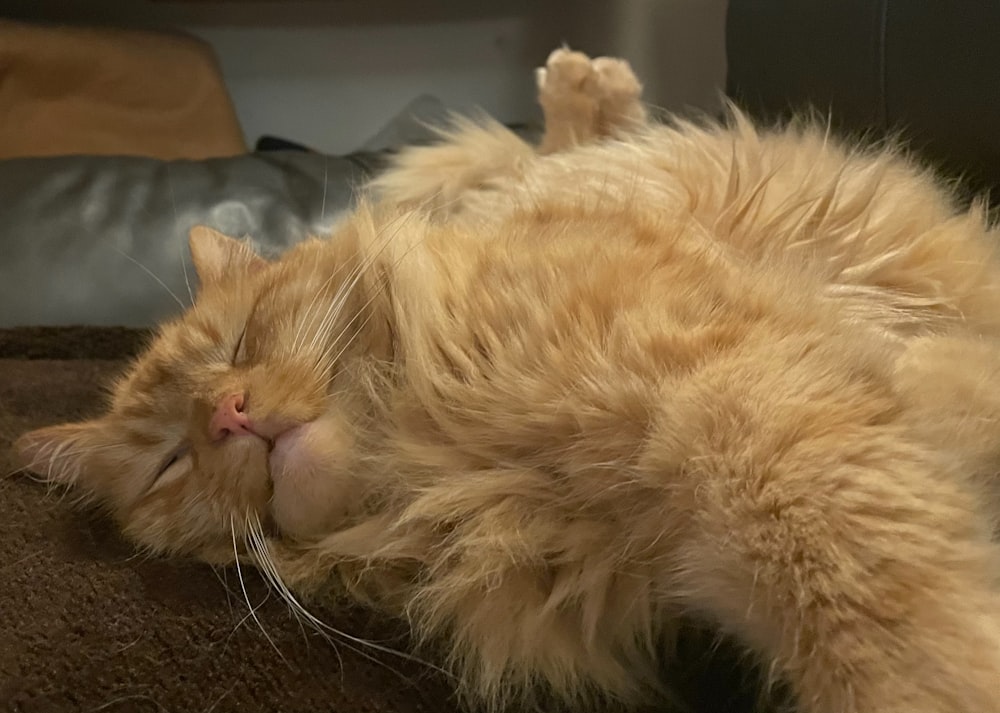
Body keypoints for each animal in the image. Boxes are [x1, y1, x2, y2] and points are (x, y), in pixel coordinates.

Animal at [13, 50, 1000, 712]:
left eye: (241, 341)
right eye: (169, 462)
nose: (228, 413)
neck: (436, 456)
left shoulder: (742, 416)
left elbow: (890, 626)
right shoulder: (699, 546)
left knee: (553, 148)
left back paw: (585, 83)